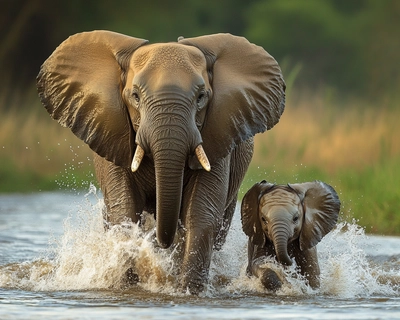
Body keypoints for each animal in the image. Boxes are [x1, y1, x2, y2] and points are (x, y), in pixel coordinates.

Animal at [35, 30, 284, 292]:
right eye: (135, 96)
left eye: (201, 97)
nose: (162, 240)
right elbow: (124, 211)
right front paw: (125, 286)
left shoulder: (218, 133)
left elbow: (200, 214)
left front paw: (189, 291)